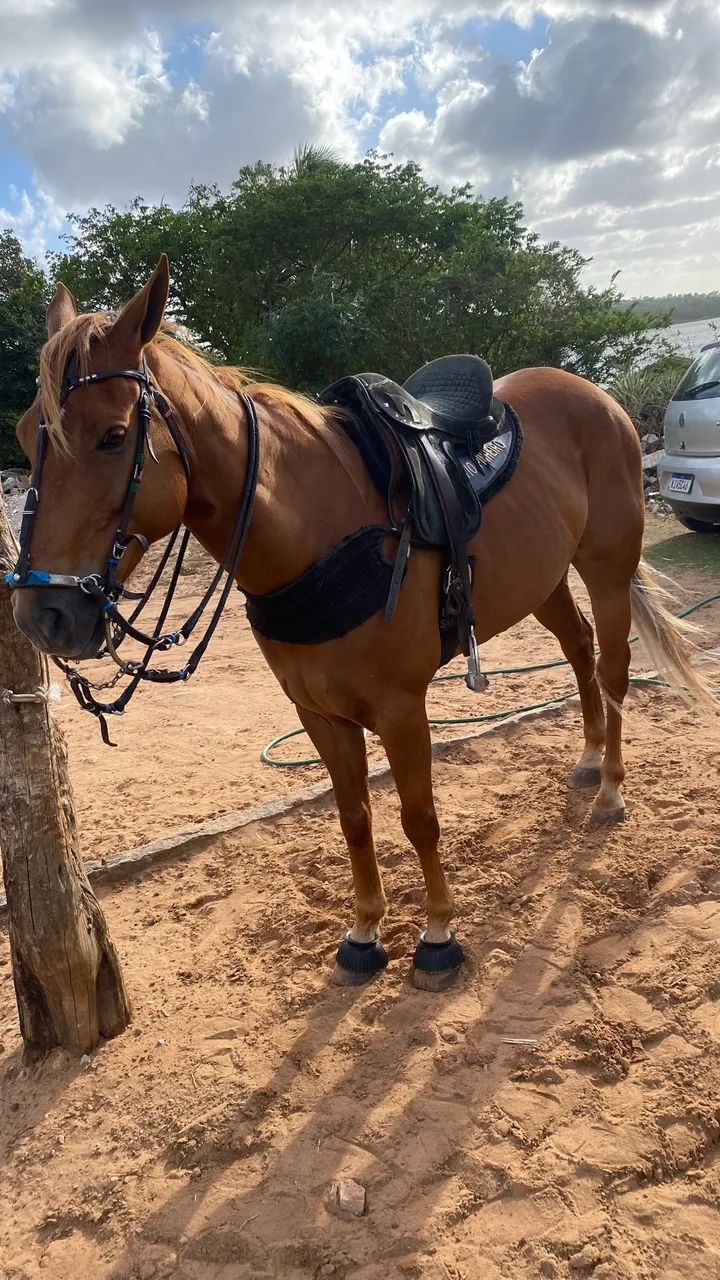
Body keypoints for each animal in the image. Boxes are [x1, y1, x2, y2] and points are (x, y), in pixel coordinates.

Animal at [9, 256, 712, 992]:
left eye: (113, 436)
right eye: (27, 435)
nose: (43, 615)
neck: (317, 535)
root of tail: (598, 397)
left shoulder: (402, 709)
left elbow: (419, 817)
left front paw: (438, 933)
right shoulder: (319, 713)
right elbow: (354, 819)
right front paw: (366, 931)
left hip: (606, 566)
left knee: (612, 668)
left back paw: (610, 791)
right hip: (542, 578)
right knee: (578, 652)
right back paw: (587, 759)